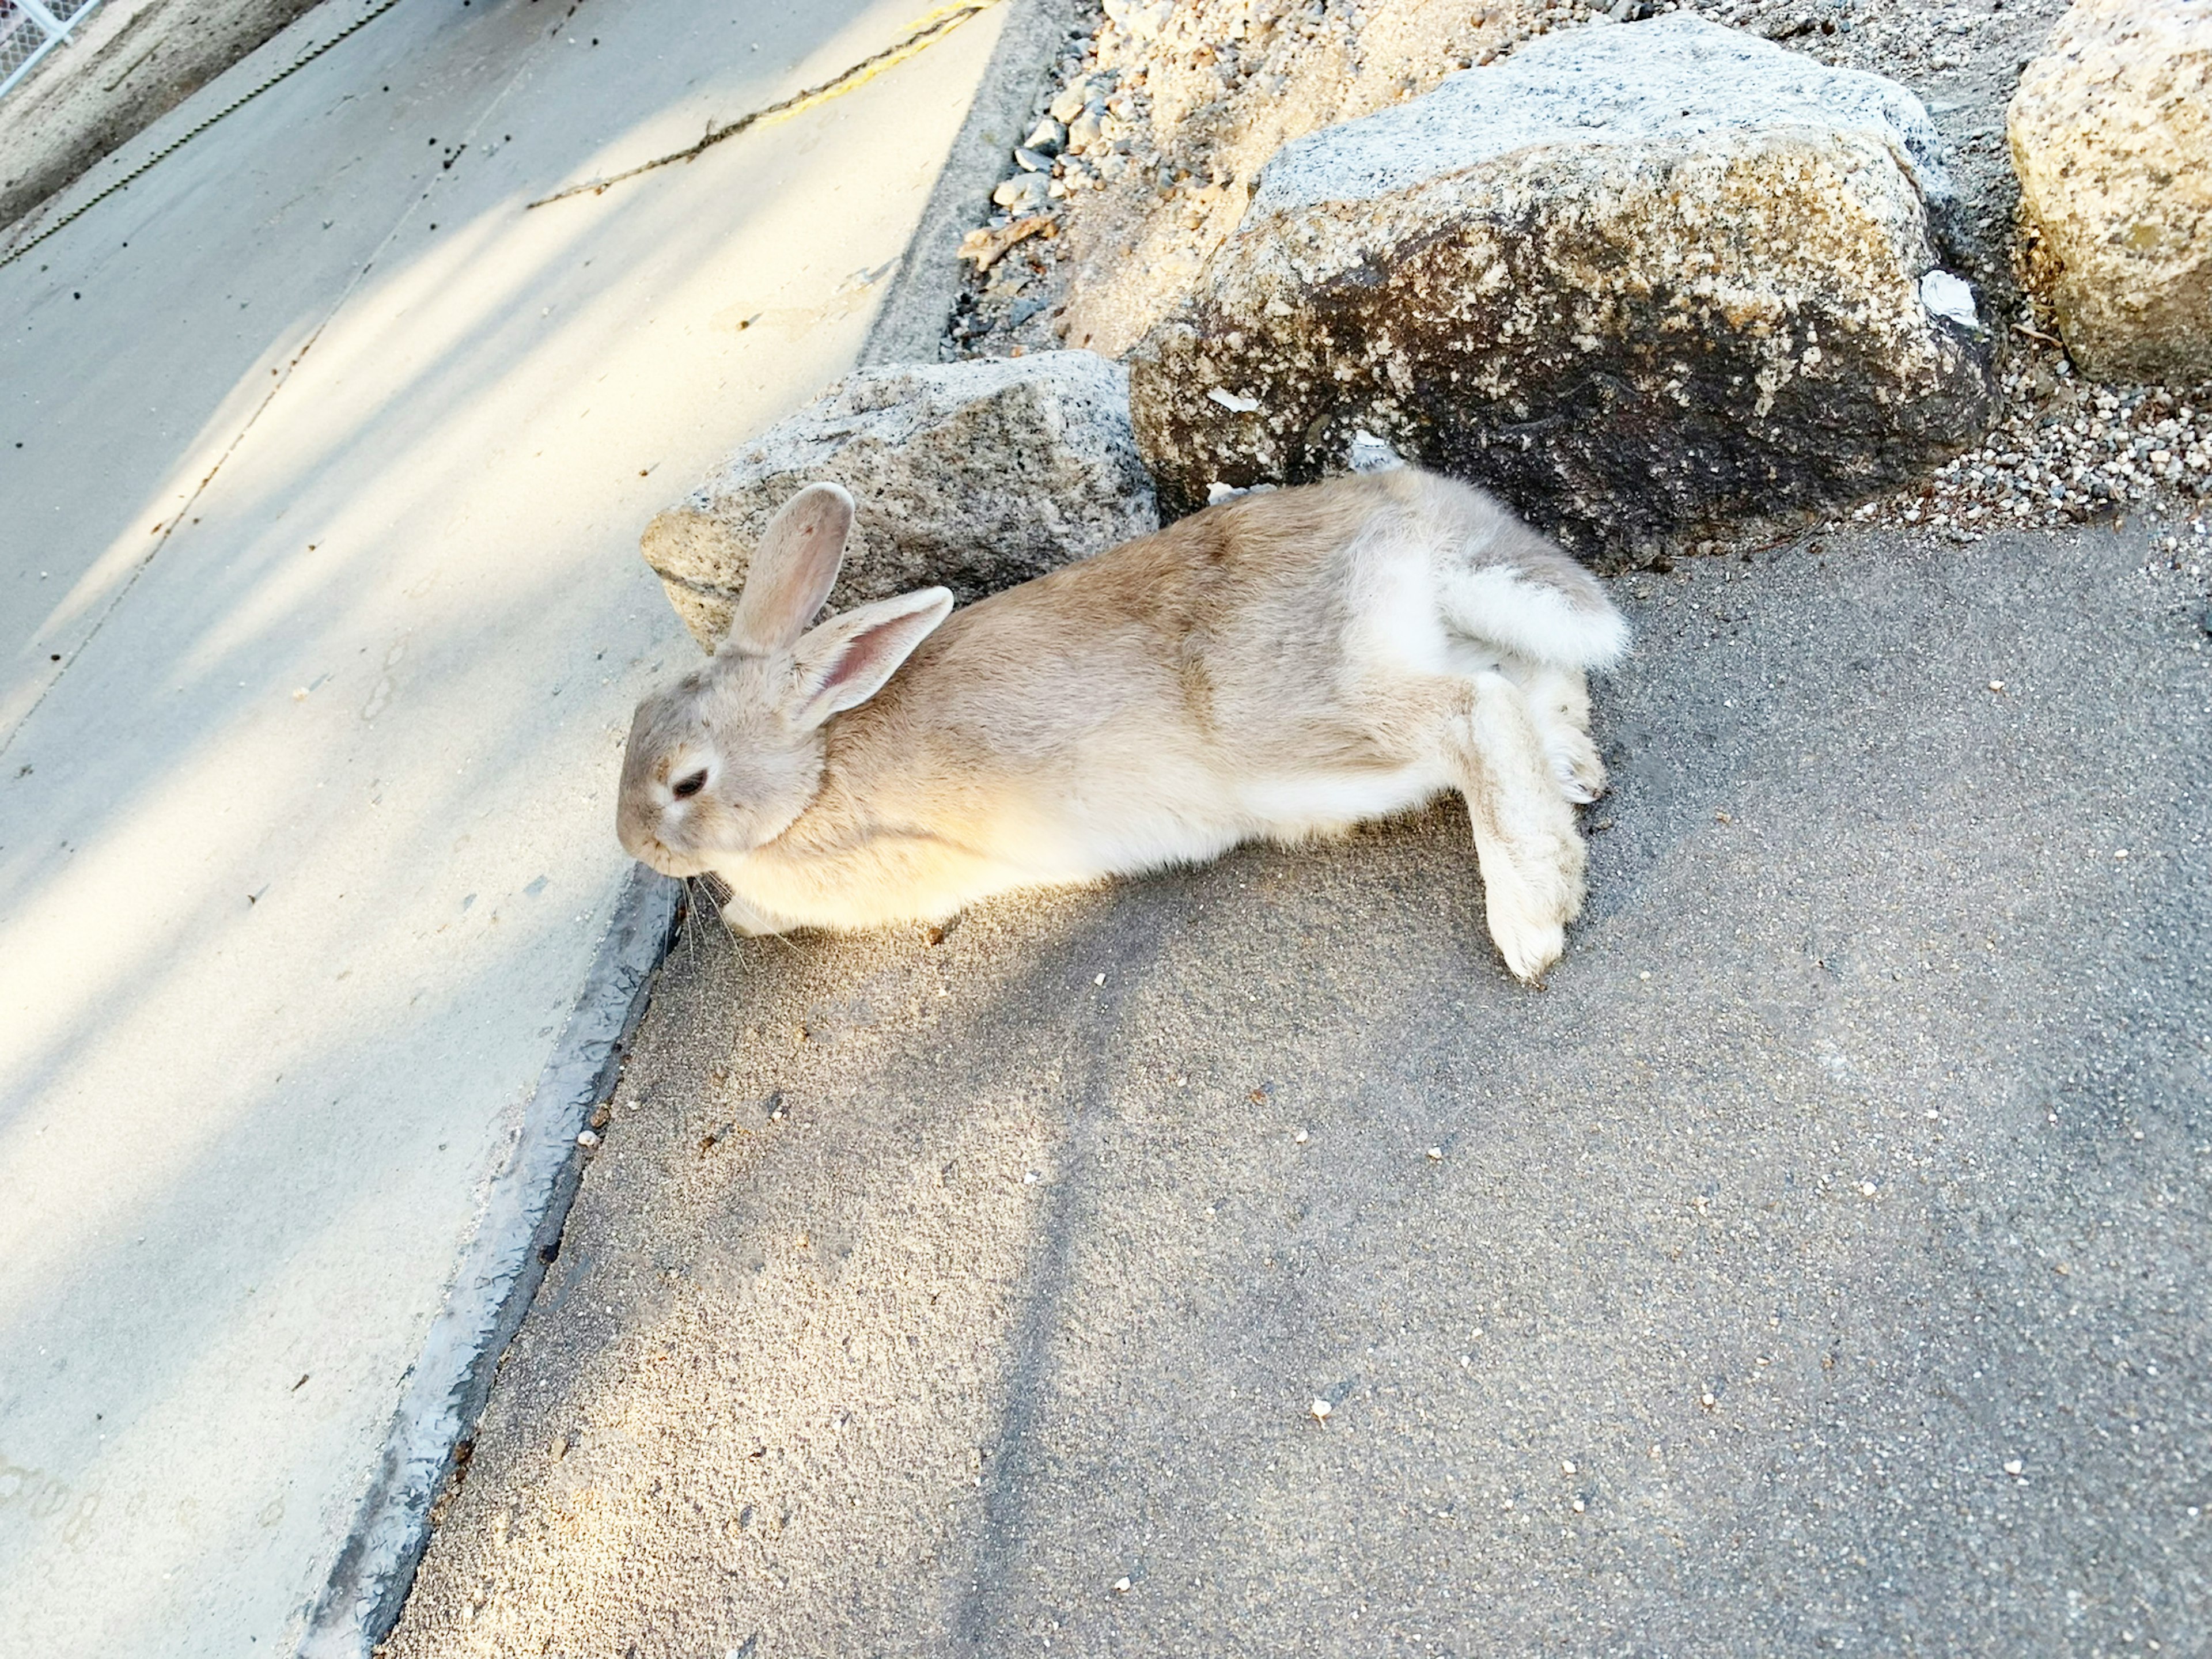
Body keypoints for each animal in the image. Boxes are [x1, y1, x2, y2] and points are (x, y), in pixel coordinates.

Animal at [619, 469, 1628, 982]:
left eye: (688, 781)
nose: (635, 846)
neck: (813, 764)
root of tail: (1403, 514)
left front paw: (744, 911)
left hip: (1305, 730)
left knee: (1475, 709)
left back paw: (1531, 917)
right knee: (1523, 675)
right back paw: (1575, 772)